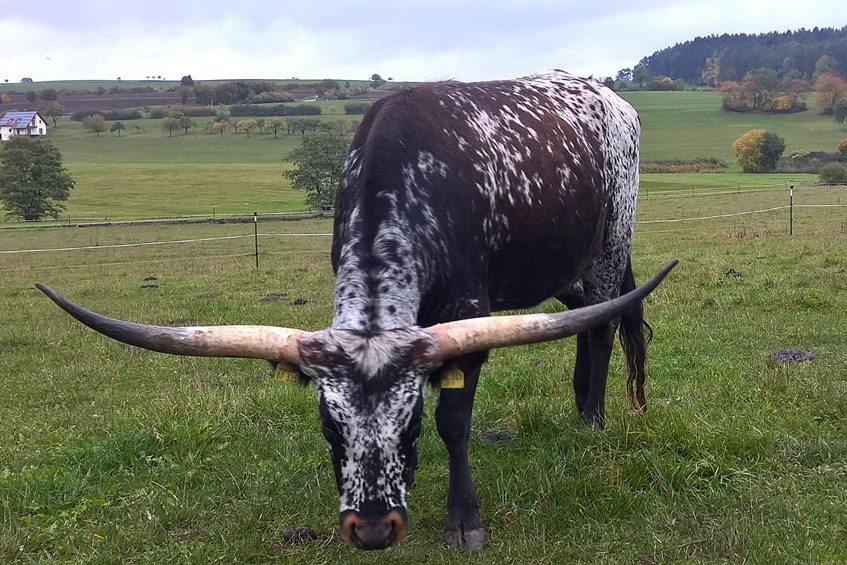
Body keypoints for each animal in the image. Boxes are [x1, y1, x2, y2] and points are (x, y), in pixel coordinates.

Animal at [36, 70, 680, 552]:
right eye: (329, 426)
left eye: (411, 424)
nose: (372, 530)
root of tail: (609, 95)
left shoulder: (467, 311)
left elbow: (456, 420)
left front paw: (463, 520)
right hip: (560, 266)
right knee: (584, 321)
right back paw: (580, 400)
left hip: (609, 247)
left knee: (602, 326)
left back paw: (592, 417)